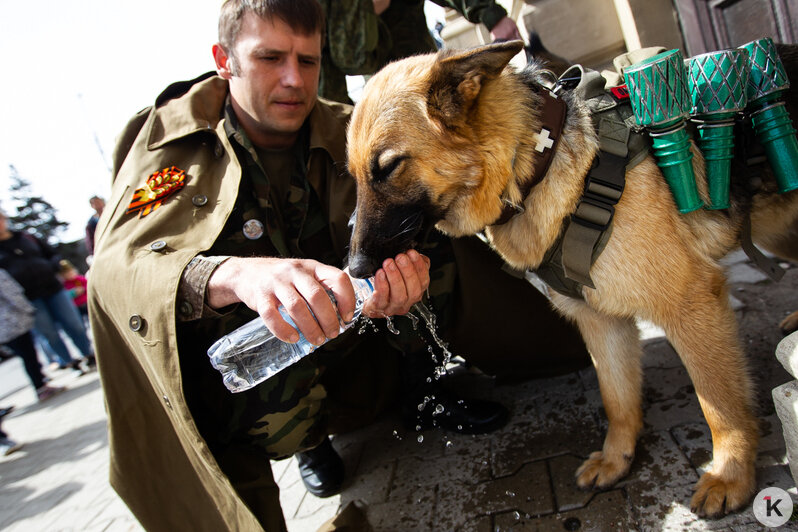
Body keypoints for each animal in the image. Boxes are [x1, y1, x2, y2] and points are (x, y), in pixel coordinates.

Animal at [346, 40, 798, 516]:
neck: (532, 162)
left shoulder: (690, 305)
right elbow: (617, 399)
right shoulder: (600, 321)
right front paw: (617, 459)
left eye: (388, 167)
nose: (354, 269)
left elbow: (720, 405)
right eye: (354, 175)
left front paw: (729, 476)